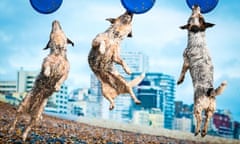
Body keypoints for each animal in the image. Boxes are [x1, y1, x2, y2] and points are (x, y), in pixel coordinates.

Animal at [176, 5, 227, 137]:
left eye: (195, 15)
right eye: (201, 16)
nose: (196, 5)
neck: (198, 33)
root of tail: (210, 92)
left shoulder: (186, 61)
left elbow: (182, 72)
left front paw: (179, 80)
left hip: (197, 107)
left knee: (199, 119)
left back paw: (197, 131)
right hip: (211, 109)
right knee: (208, 119)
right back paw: (203, 132)